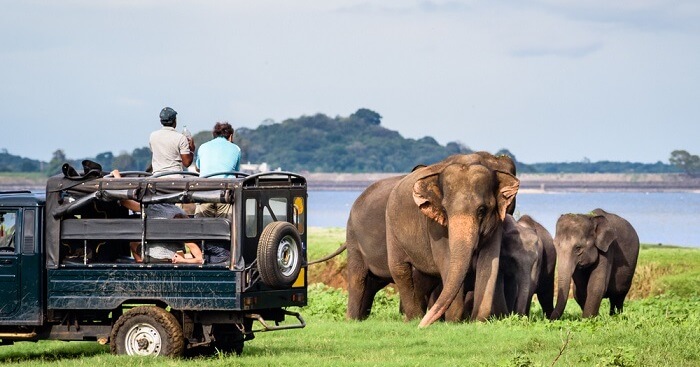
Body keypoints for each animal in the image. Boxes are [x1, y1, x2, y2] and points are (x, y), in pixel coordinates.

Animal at [388, 156, 520, 328]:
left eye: (482, 210)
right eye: (445, 210)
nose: (422, 326)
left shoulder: (496, 223)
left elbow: (489, 262)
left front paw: (477, 322)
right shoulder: (435, 226)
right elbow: (446, 260)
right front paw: (453, 322)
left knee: (424, 276)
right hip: (391, 228)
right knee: (400, 269)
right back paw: (414, 319)